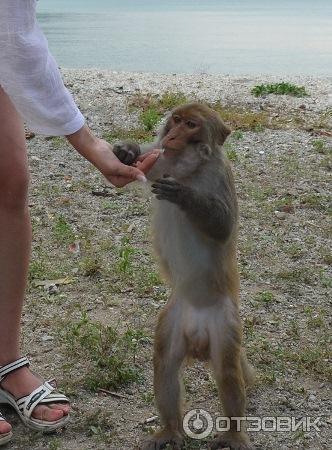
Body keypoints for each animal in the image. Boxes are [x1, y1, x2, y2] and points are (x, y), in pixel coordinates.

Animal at [113, 103, 254, 450]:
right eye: (176, 120)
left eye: (191, 125)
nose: (174, 134)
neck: (187, 170)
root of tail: (198, 335)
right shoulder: (160, 161)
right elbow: (145, 159)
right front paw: (127, 152)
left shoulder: (219, 176)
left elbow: (223, 225)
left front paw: (184, 196)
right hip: (173, 318)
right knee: (164, 365)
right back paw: (170, 430)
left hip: (225, 323)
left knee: (228, 372)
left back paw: (233, 434)